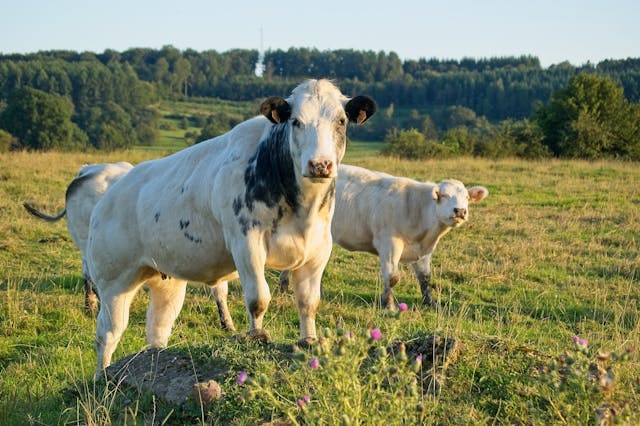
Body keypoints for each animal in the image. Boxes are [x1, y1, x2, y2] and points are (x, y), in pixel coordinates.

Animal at [86, 79, 376, 370]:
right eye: (295, 121)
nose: (320, 164)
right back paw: (103, 375)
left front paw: (309, 340)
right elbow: (258, 298)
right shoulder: (246, 243)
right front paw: (256, 336)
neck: (301, 208)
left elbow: (308, 302)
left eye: (341, 121)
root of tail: (108, 196)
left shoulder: (318, 249)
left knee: (158, 328)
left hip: (166, 278)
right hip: (113, 282)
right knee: (107, 333)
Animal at [280, 164, 489, 309]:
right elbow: (392, 277)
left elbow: (425, 278)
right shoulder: (389, 244)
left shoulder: (424, 251)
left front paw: (430, 302)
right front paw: (388, 304)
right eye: (443, 196)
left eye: (467, 198)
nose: (460, 211)